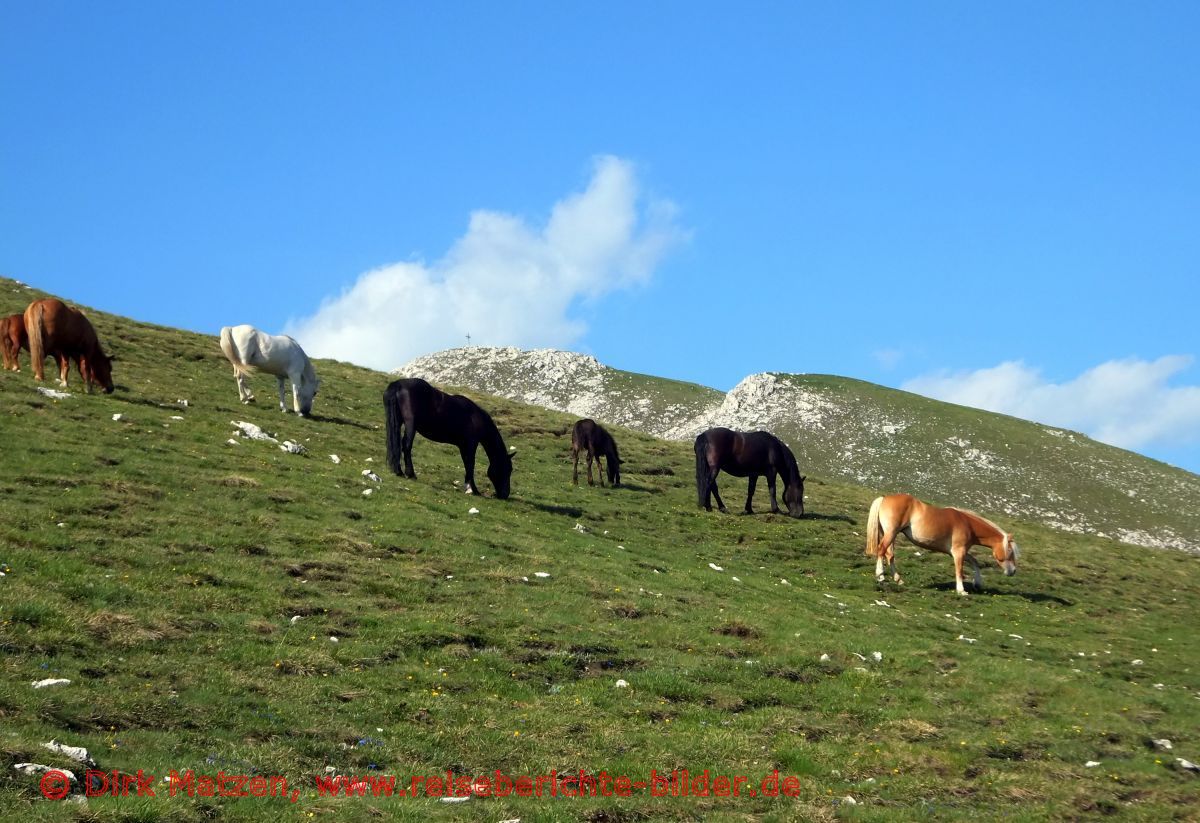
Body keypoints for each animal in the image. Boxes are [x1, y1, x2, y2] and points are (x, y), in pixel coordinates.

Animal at [864, 494, 1022, 597]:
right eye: (1010, 551)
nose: (1013, 571)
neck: (968, 524)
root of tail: (884, 498)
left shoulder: (959, 551)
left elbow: (974, 562)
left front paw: (977, 583)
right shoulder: (959, 552)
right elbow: (959, 570)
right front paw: (962, 591)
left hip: (890, 534)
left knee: (889, 554)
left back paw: (898, 580)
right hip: (891, 533)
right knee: (881, 550)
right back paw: (880, 576)